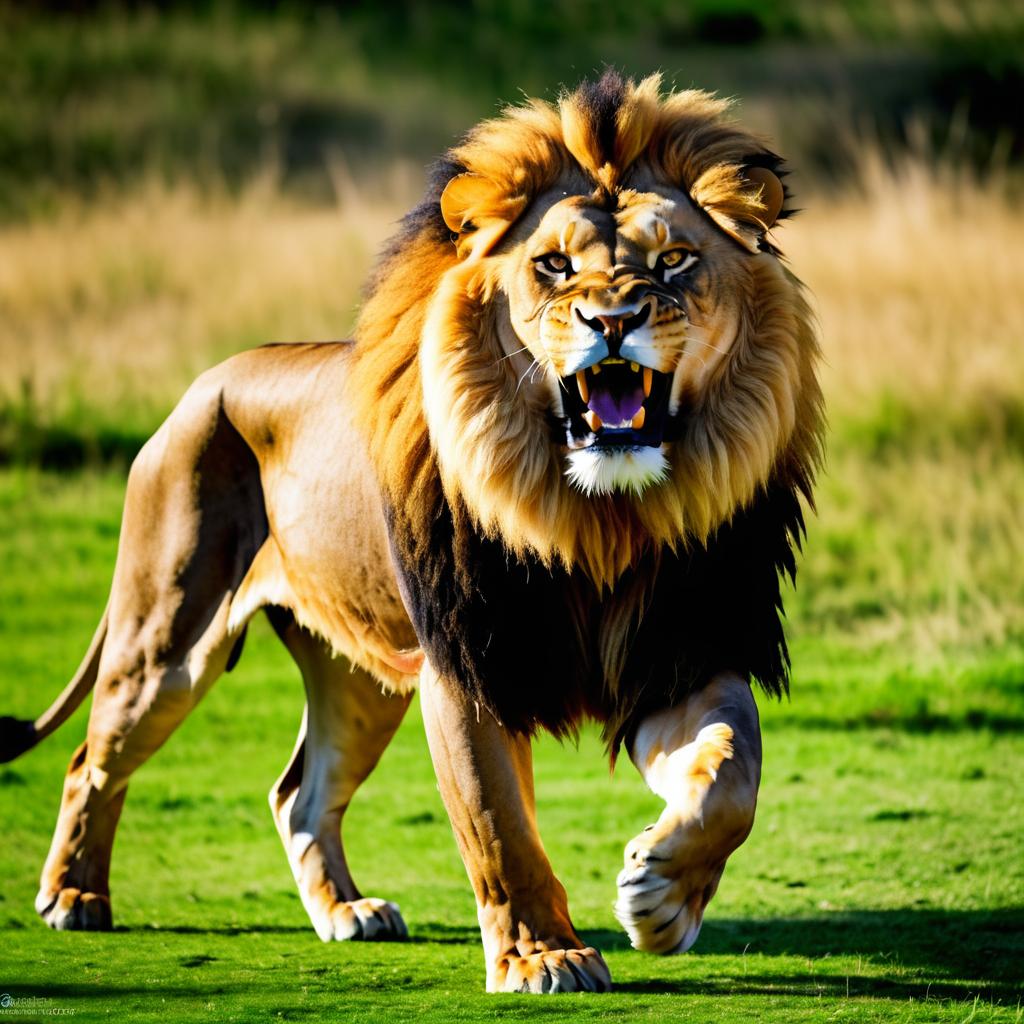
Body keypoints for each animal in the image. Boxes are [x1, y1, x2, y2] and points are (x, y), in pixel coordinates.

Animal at [0, 70, 819, 991]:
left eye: (673, 259)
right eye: (553, 266)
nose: (613, 320)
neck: (596, 518)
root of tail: (206, 379)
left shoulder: (676, 650)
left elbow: (734, 772)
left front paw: (663, 895)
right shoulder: (467, 663)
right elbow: (498, 824)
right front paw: (543, 956)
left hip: (359, 678)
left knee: (299, 792)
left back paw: (346, 913)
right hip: (165, 641)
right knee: (91, 762)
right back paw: (73, 896)